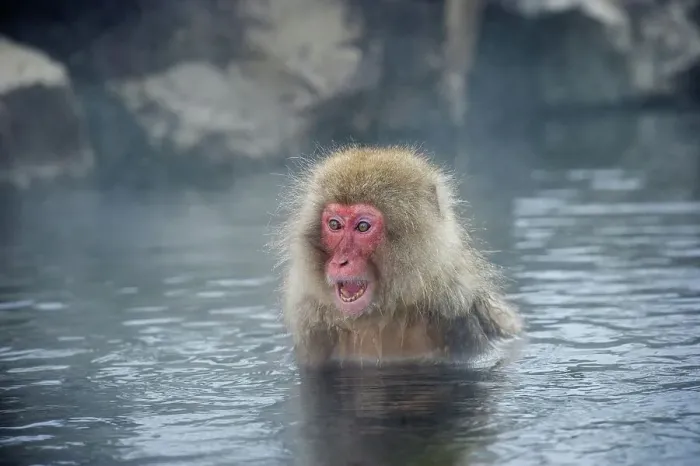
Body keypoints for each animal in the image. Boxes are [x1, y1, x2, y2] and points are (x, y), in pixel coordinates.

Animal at [271, 146, 523, 368]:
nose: (341, 261)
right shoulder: (312, 329)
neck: (382, 315)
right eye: (334, 225)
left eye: (363, 227)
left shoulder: (459, 320)